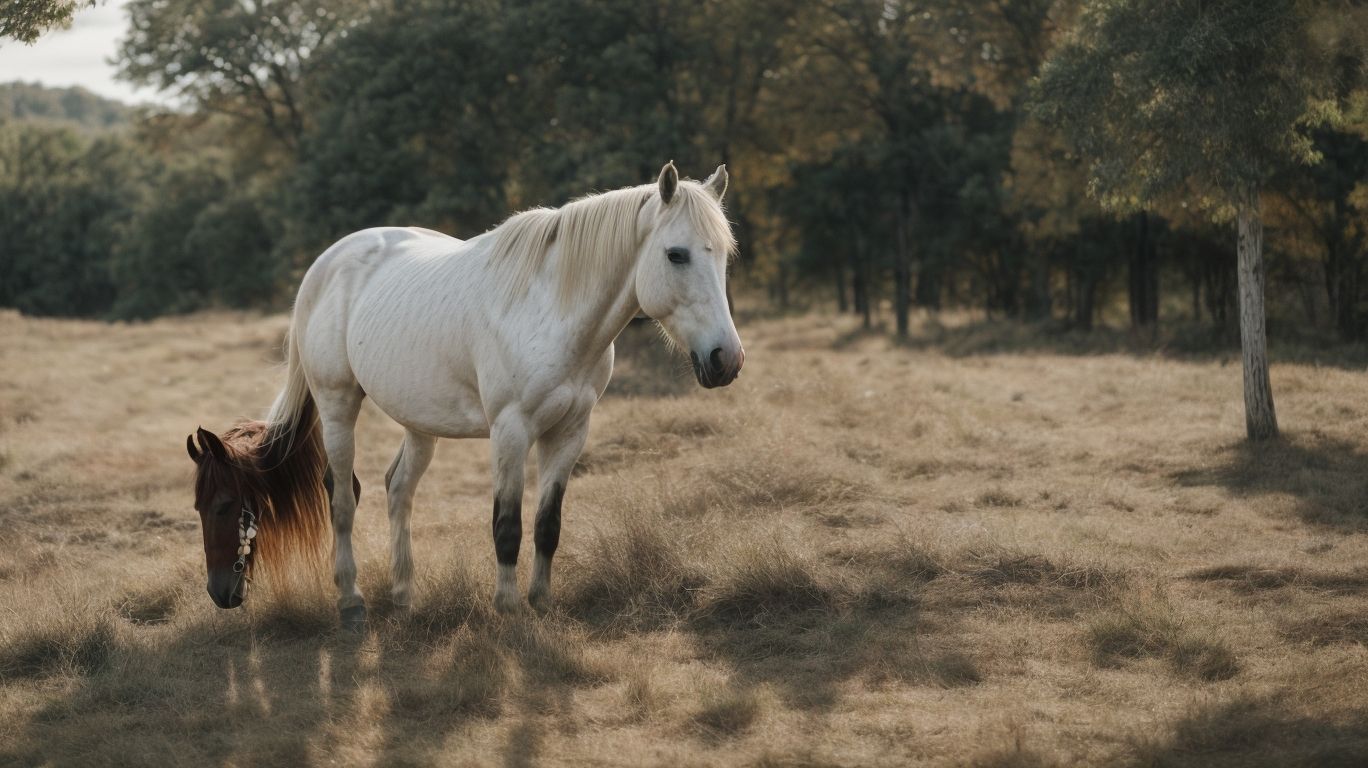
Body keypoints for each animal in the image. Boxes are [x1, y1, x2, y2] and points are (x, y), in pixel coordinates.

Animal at [187, 162, 743, 629]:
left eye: (724, 255)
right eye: (676, 254)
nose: (726, 359)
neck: (552, 310)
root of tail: (325, 265)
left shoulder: (570, 432)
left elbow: (547, 525)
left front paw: (541, 604)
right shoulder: (511, 430)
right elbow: (506, 526)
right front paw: (508, 610)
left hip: (418, 422)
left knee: (397, 489)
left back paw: (403, 596)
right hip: (338, 405)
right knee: (342, 499)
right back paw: (351, 602)